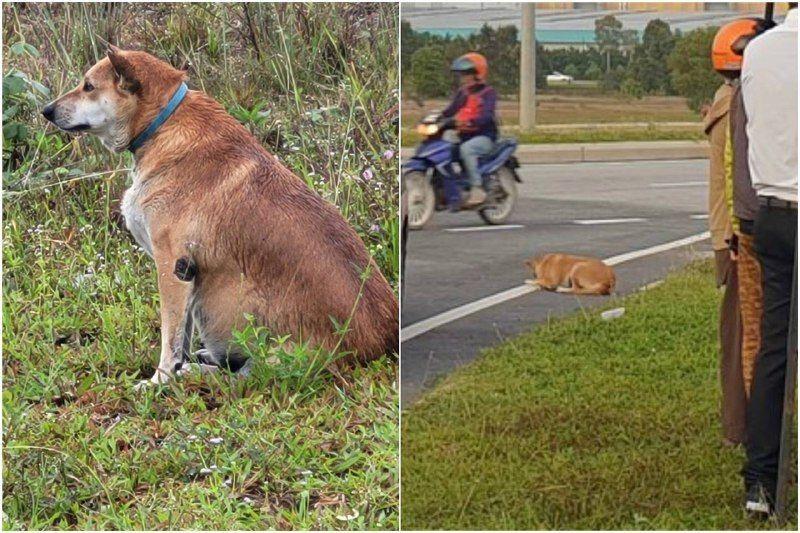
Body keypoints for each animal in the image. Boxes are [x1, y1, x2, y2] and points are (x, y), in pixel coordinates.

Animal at [40, 46, 396, 386]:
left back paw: (195, 372)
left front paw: (160, 380)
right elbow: (179, 338)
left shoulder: (172, 267)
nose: (46, 110)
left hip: (261, 336)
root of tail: (382, 344)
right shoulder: (184, 275)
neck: (162, 123)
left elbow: (170, 341)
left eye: (88, 86)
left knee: (243, 375)